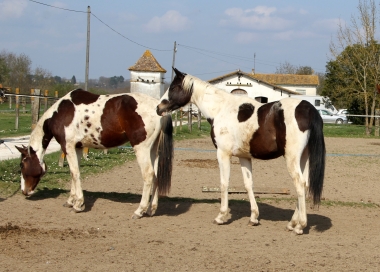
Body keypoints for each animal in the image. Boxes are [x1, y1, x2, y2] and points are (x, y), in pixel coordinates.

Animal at [16, 89, 174, 219]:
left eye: (22, 165)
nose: (24, 191)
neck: (61, 113)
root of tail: (158, 108)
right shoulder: (78, 148)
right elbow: (74, 173)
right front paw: (70, 201)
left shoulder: (68, 146)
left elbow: (75, 173)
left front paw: (78, 205)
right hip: (153, 150)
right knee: (156, 176)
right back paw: (151, 209)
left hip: (141, 149)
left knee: (148, 175)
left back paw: (140, 211)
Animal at [156, 68, 326, 234]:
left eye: (173, 87)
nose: (158, 108)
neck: (221, 110)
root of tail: (308, 109)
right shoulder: (244, 157)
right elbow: (248, 184)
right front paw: (253, 218)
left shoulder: (223, 154)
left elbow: (224, 183)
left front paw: (221, 216)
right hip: (303, 158)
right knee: (304, 185)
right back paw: (292, 223)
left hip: (291, 158)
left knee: (299, 184)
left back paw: (300, 226)